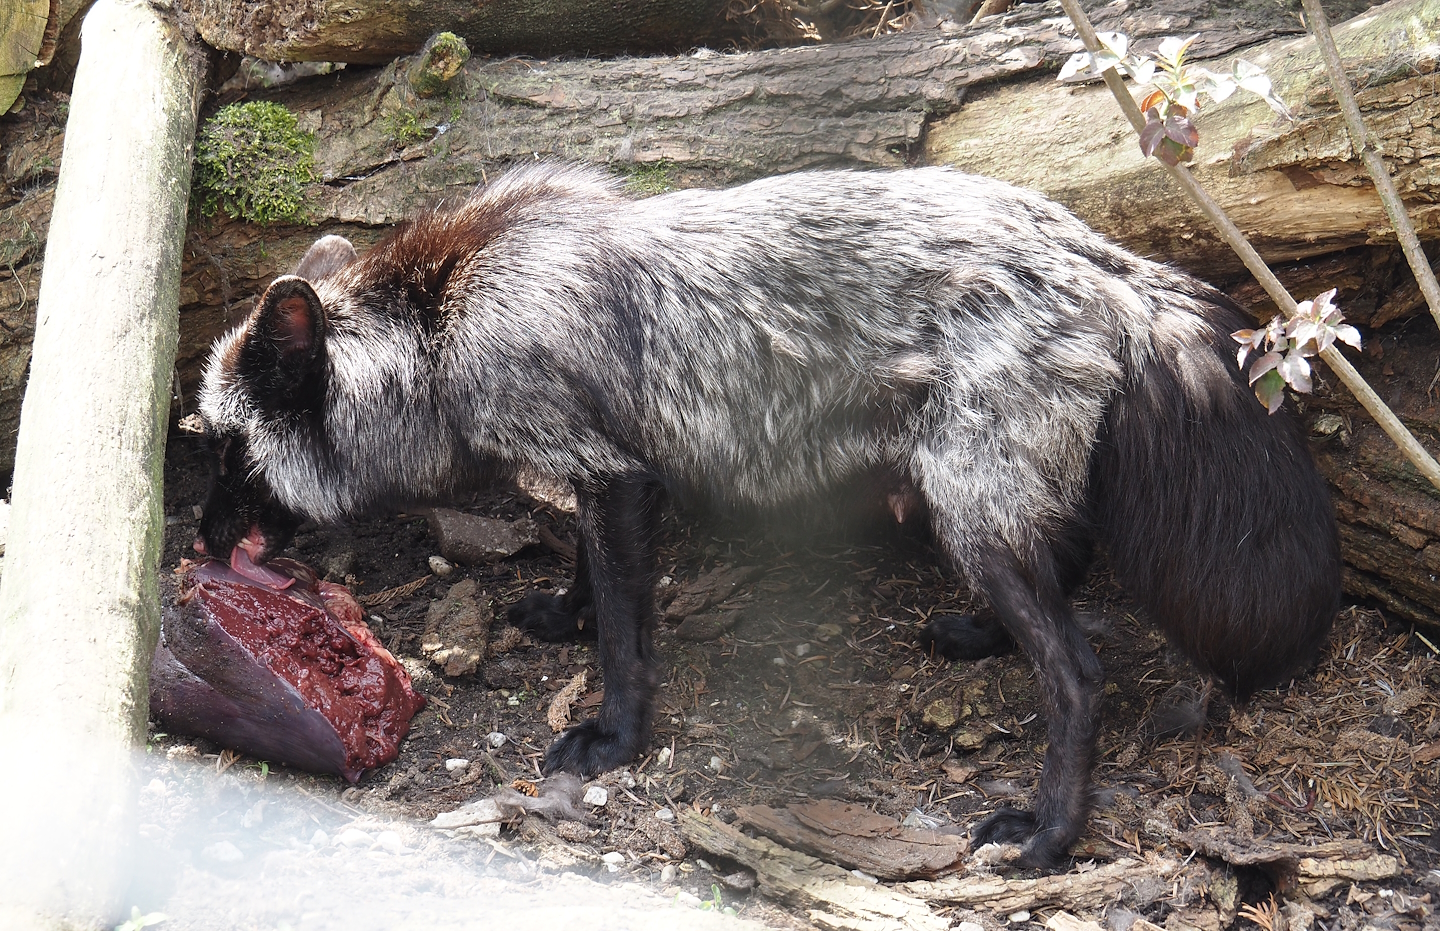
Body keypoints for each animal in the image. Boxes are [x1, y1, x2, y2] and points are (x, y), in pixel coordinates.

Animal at [194, 163, 1340, 869]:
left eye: (225, 448)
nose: (198, 542)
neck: (443, 315)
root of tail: (1101, 259)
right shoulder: (607, 468)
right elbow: (586, 576)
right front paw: (559, 615)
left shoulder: (616, 476)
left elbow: (625, 636)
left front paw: (613, 738)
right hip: (984, 499)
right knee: (1063, 561)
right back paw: (978, 635)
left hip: (971, 506)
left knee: (1079, 670)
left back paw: (1050, 833)